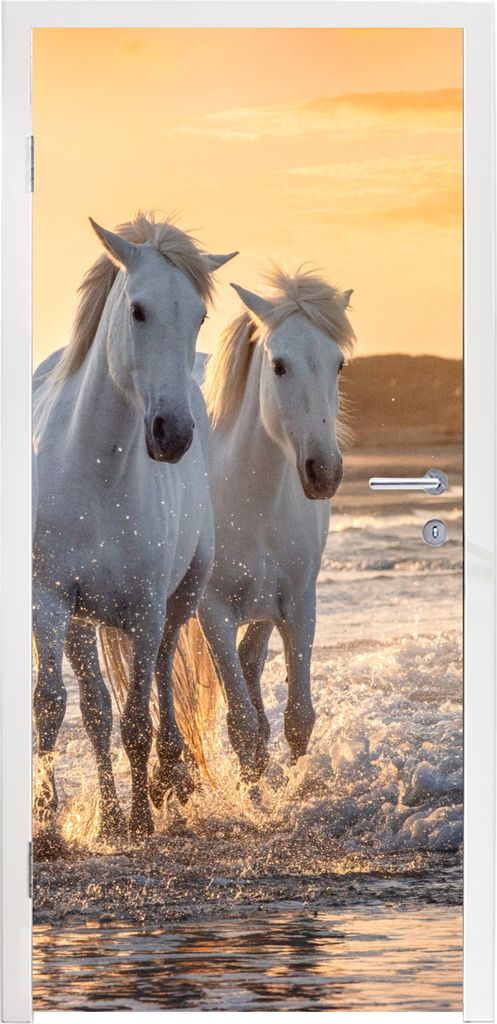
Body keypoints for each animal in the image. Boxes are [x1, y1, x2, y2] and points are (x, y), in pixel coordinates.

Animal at [32, 213, 237, 841]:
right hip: (80, 621)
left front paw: (145, 818)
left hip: (181, 597)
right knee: (96, 709)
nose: (173, 433)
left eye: (198, 316)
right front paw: (48, 829)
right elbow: (54, 707)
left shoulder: (145, 610)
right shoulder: (49, 600)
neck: (96, 472)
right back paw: (109, 816)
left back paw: (168, 780)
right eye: (139, 310)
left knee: (163, 684)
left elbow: (138, 719)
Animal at [180, 268, 355, 782]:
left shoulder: (298, 604)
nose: (324, 472)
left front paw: (292, 788)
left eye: (338, 364)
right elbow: (242, 730)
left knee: (249, 663)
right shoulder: (214, 612)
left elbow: (298, 718)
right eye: (278, 366)